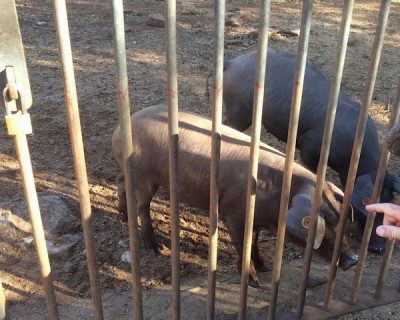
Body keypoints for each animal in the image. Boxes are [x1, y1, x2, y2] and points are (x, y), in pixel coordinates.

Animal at [111, 105, 358, 288]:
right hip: (145, 176)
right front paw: (254, 281)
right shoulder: (234, 212)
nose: (352, 260)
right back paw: (156, 249)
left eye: (340, 218)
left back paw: (122, 216)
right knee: (142, 206)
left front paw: (266, 267)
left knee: (121, 183)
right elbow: (243, 243)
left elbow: (255, 241)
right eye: (321, 223)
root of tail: (119, 129)